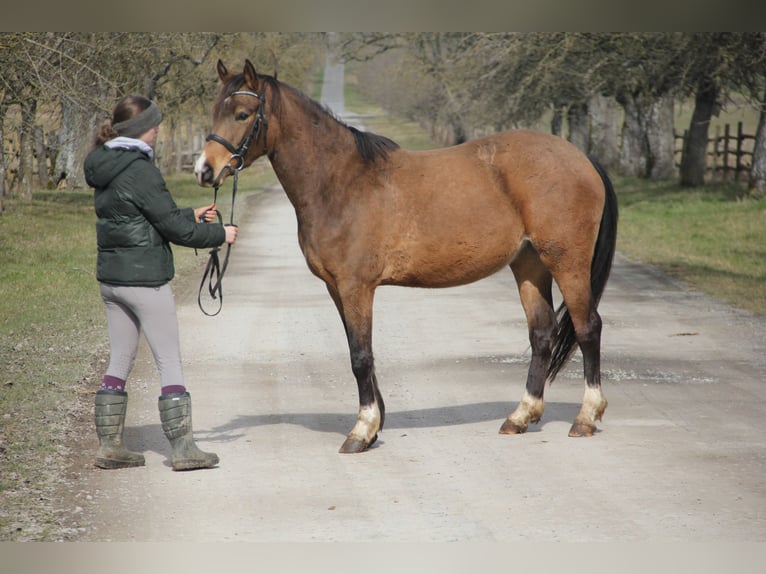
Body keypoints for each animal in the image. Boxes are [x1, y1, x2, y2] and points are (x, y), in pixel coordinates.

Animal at [195, 58, 620, 454]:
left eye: (242, 114)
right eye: (215, 110)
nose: (205, 170)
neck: (341, 183)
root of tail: (581, 158)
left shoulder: (356, 287)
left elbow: (360, 356)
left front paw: (361, 431)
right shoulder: (337, 288)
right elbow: (359, 350)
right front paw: (375, 424)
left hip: (567, 262)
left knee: (588, 328)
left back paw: (586, 417)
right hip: (529, 264)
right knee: (542, 333)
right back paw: (520, 416)